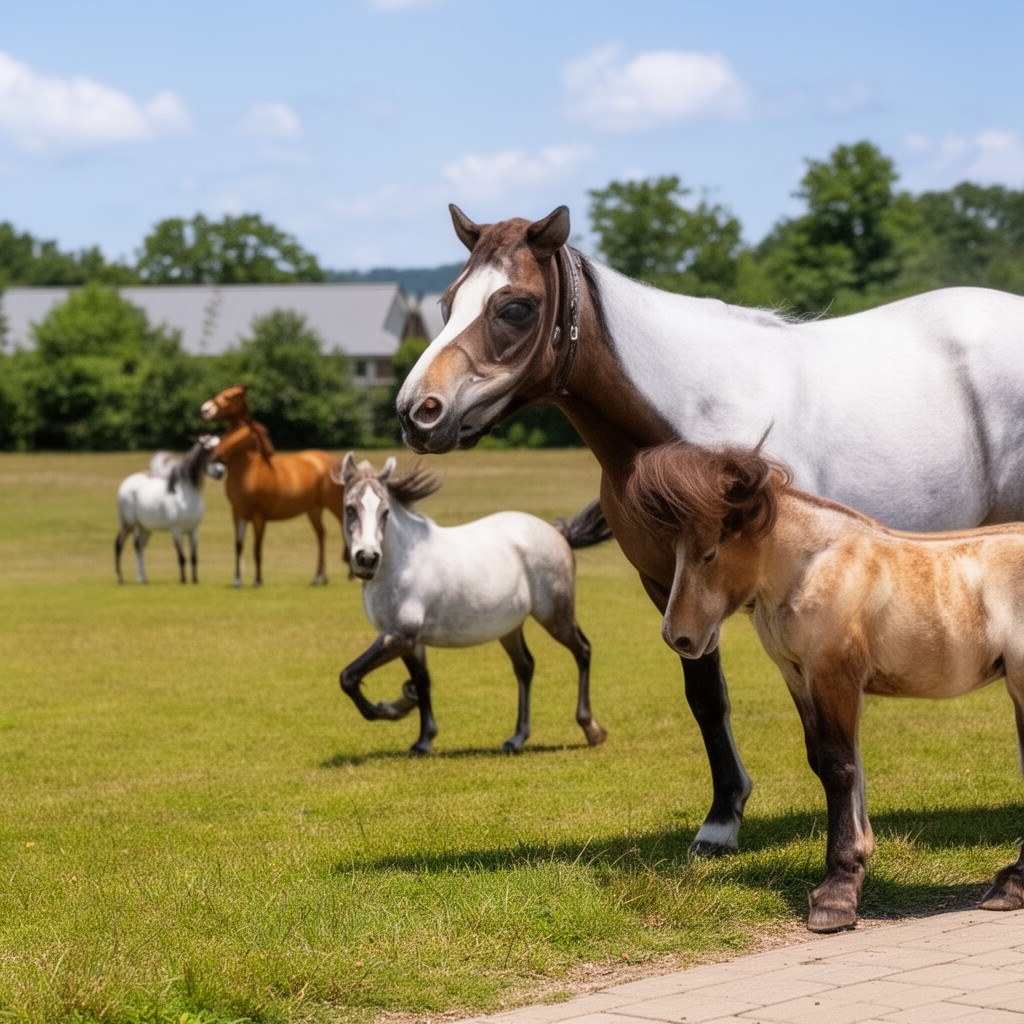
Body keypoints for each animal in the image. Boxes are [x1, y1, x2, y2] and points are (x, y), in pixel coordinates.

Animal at [115, 435, 223, 584]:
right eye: (208, 450)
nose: (221, 471)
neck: (185, 494)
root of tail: (126, 483)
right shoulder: (176, 530)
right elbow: (181, 557)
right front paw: (183, 580)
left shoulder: (194, 530)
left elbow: (194, 557)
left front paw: (195, 580)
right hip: (129, 524)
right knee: (120, 545)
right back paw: (121, 578)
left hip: (145, 528)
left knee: (139, 547)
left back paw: (142, 578)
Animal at [207, 418, 345, 587]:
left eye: (264, 432)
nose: (215, 459)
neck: (251, 472)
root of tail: (333, 461)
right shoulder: (238, 514)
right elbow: (238, 546)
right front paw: (237, 581)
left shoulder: (258, 517)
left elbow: (257, 547)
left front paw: (258, 580)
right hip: (314, 509)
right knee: (321, 534)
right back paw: (319, 578)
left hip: (334, 505)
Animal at [334, 453, 611, 755]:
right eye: (350, 508)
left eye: (384, 512)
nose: (367, 558)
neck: (400, 563)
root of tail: (557, 532)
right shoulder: (408, 640)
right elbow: (422, 681)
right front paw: (423, 738)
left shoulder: (400, 635)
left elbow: (349, 677)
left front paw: (396, 708)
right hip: (509, 627)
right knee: (525, 667)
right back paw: (516, 738)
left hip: (556, 616)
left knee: (582, 650)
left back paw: (592, 729)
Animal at [394, 203, 1024, 856]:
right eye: (448, 301)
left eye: (515, 306)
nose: (417, 411)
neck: (695, 430)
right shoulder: (670, 587)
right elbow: (707, 699)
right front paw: (723, 820)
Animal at [622, 439, 1024, 932]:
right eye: (678, 550)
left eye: (710, 552)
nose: (678, 637)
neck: (816, 567)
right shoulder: (799, 676)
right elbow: (827, 761)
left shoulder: (834, 675)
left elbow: (839, 767)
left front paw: (838, 893)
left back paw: (1011, 884)